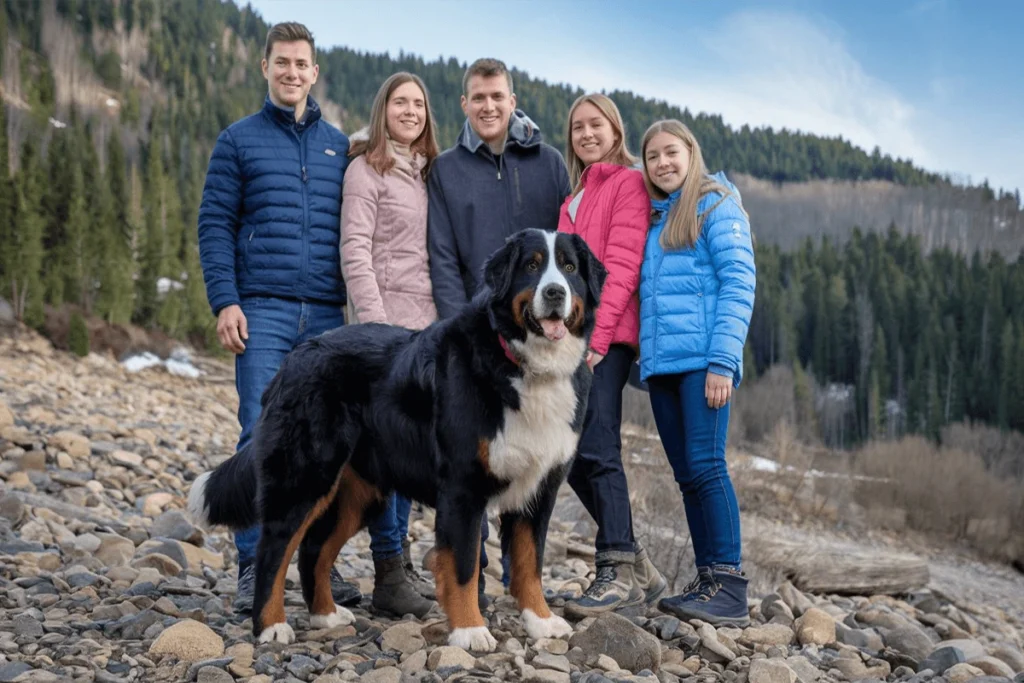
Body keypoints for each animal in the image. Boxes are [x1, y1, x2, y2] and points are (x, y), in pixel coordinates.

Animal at [188, 228, 606, 651]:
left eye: (569, 268)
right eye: (531, 266)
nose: (554, 292)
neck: (520, 363)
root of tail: (296, 355)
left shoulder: (539, 489)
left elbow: (529, 563)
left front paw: (541, 621)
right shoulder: (463, 487)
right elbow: (464, 567)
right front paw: (470, 630)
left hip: (357, 495)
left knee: (313, 549)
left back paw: (325, 615)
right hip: (305, 477)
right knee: (274, 549)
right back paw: (270, 625)